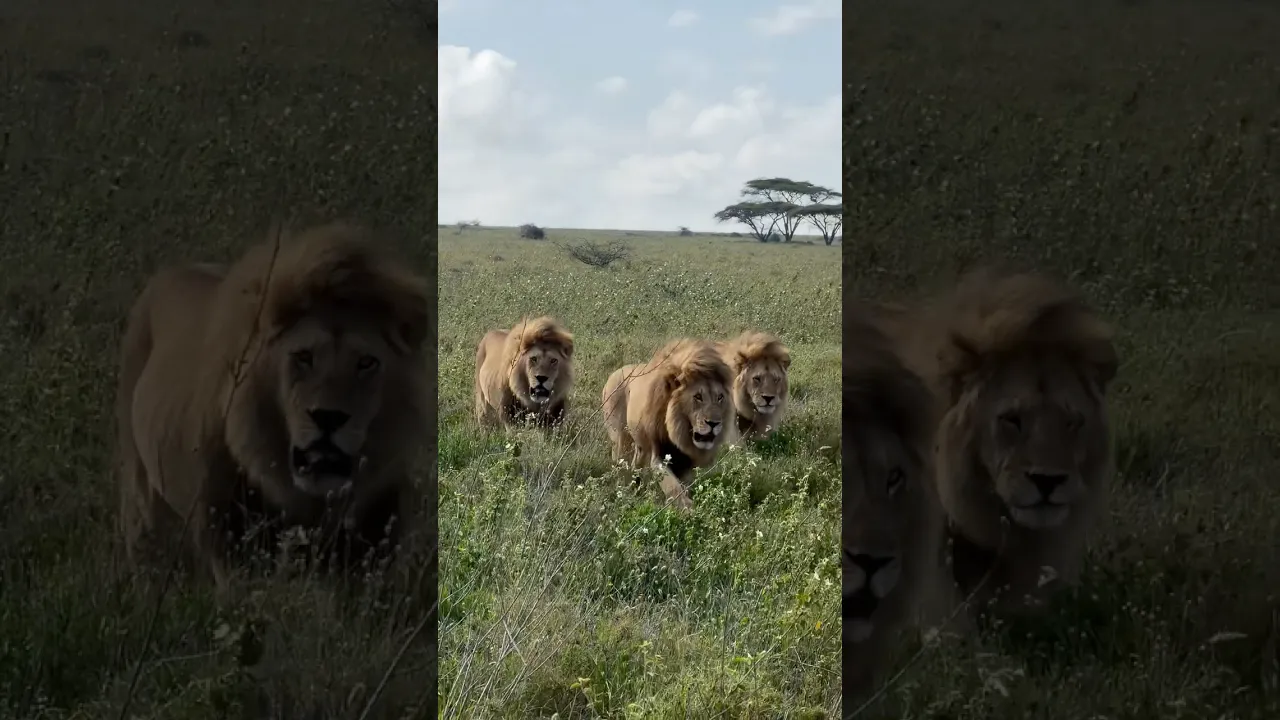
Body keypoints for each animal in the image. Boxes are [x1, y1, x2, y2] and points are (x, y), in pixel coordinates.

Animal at [601, 338, 733, 510]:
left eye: (720, 397)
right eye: (698, 397)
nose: (714, 423)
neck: (680, 432)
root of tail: (615, 372)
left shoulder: (686, 464)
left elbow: (683, 486)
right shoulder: (660, 455)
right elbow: (673, 487)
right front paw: (687, 509)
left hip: (641, 445)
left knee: (637, 462)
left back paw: (635, 487)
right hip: (620, 439)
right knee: (619, 463)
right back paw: (621, 491)